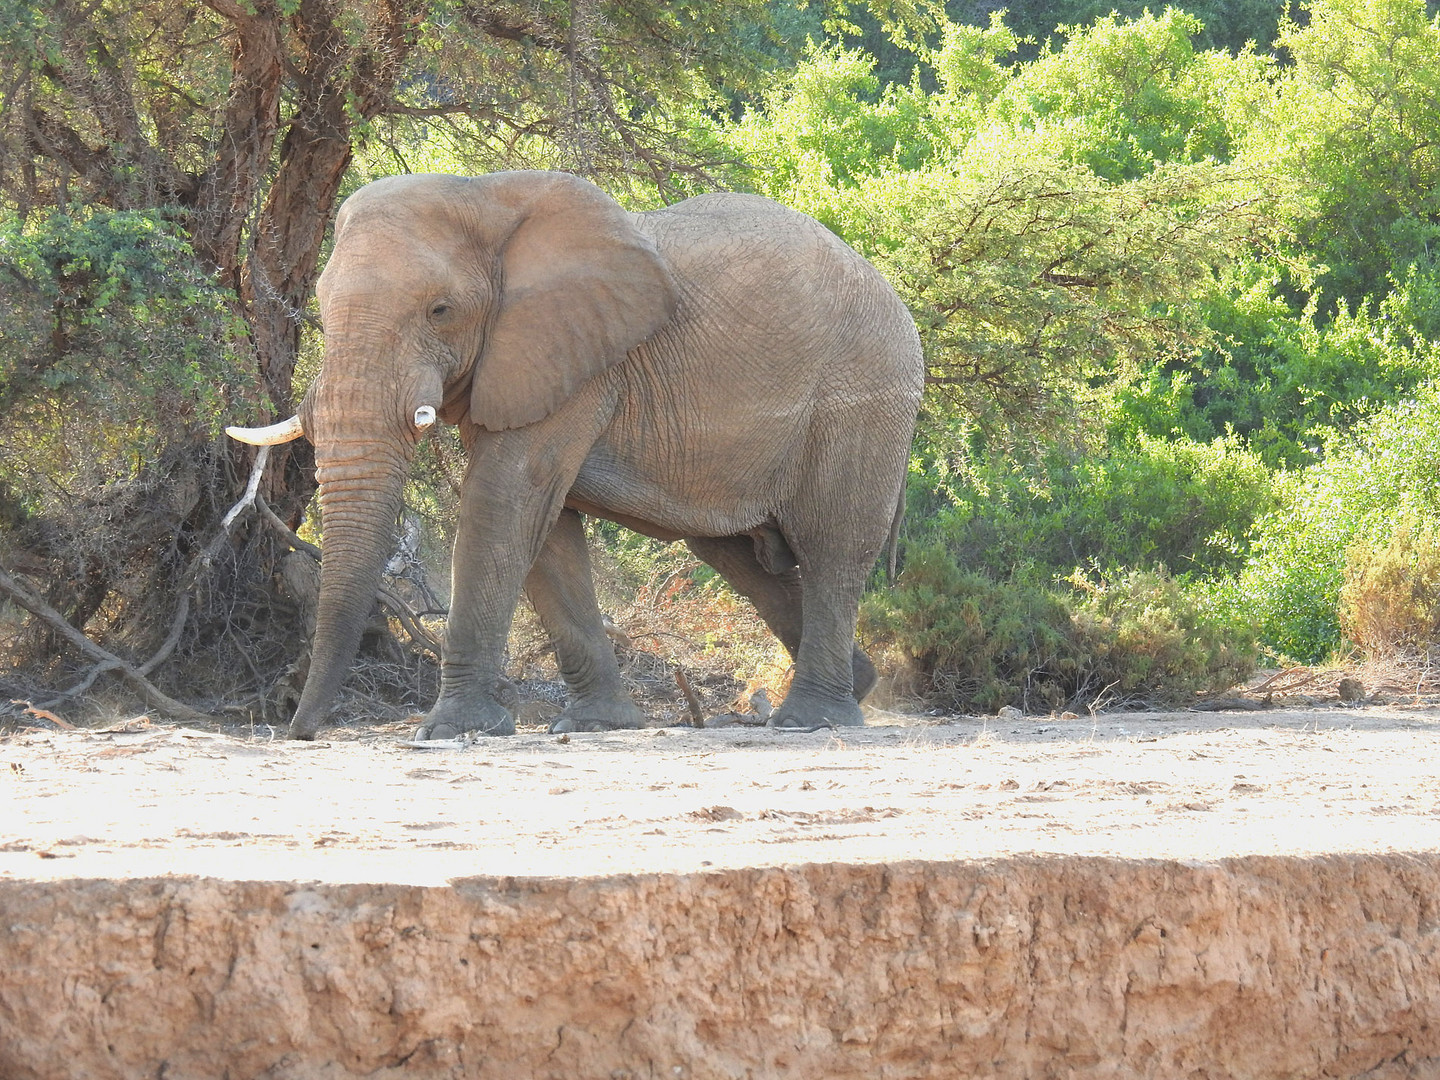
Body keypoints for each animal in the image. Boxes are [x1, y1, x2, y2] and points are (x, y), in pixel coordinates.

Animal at [224, 171, 921, 743]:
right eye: (321, 301)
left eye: (440, 310)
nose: (301, 732)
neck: (482, 194)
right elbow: (546, 526)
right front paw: (594, 725)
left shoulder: (576, 362)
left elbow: (504, 500)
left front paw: (450, 730)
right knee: (740, 557)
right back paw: (853, 685)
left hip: (863, 399)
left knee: (831, 546)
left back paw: (812, 719)